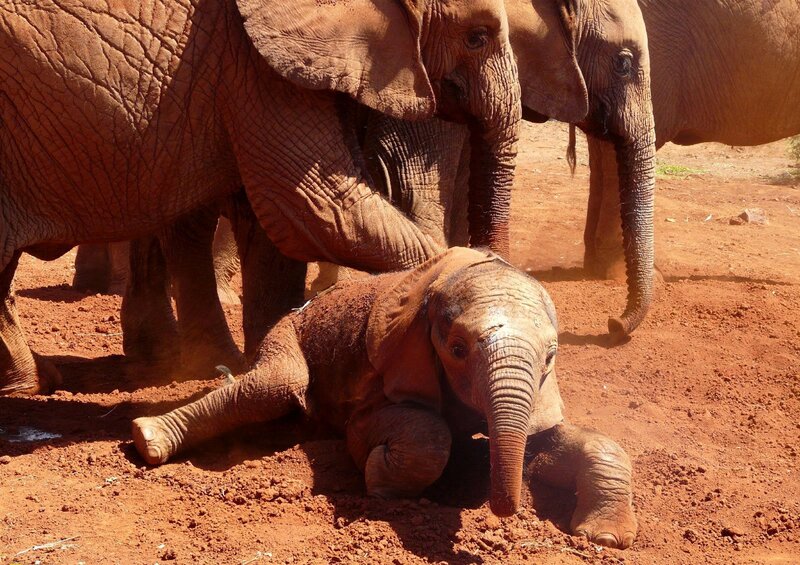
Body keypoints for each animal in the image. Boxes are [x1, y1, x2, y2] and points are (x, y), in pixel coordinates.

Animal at [0, 0, 549, 395]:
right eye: (477, 37)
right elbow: (318, 208)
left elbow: (277, 228)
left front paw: (269, 356)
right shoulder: (253, 65)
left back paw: (39, 380)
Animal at [131, 247, 638, 549]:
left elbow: (568, 442)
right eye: (457, 349)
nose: (507, 508)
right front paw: (380, 482)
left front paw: (606, 538)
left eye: (551, 356)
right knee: (271, 386)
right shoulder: (386, 374)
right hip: (289, 331)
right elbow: (411, 431)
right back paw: (147, 439)